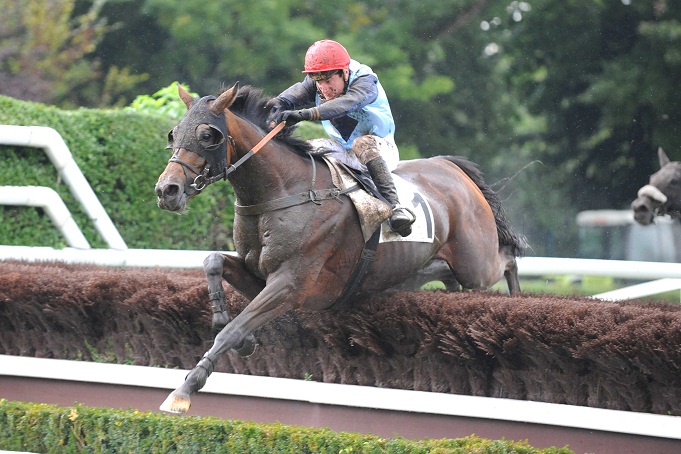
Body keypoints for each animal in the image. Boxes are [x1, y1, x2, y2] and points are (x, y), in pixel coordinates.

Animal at [154, 82, 524, 414]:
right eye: (174, 133)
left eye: (207, 135)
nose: (167, 190)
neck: (284, 191)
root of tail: (450, 167)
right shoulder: (260, 275)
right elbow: (213, 261)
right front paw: (224, 322)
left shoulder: (292, 284)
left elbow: (233, 330)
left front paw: (184, 390)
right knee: (448, 275)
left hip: (477, 262)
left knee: (507, 260)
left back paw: (518, 300)